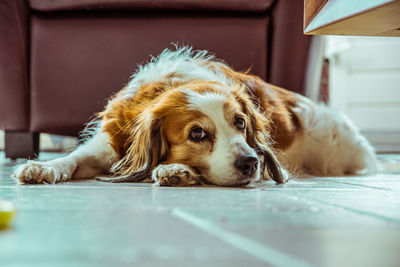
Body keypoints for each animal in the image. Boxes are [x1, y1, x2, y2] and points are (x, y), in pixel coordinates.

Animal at [11, 47, 376, 187]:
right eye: (197, 134)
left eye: (240, 123)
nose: (250, 164)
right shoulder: (111, 143)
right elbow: (75, 158)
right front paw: (43, 167)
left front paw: (173, 170)